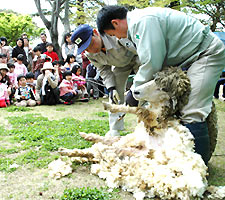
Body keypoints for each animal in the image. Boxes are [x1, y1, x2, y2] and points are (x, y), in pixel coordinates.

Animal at [55, 67, 221, 200]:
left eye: (163, 88)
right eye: (154, 79)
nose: (135, 91)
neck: (160, 109)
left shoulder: (153, 119)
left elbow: (136, 109)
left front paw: (110, 106)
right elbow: (135, 109)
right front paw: (112, 105)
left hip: (131, 151)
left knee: (99, 151)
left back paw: (70, 149)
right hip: (128, 141)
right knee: (101, 145)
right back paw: (80, 139)